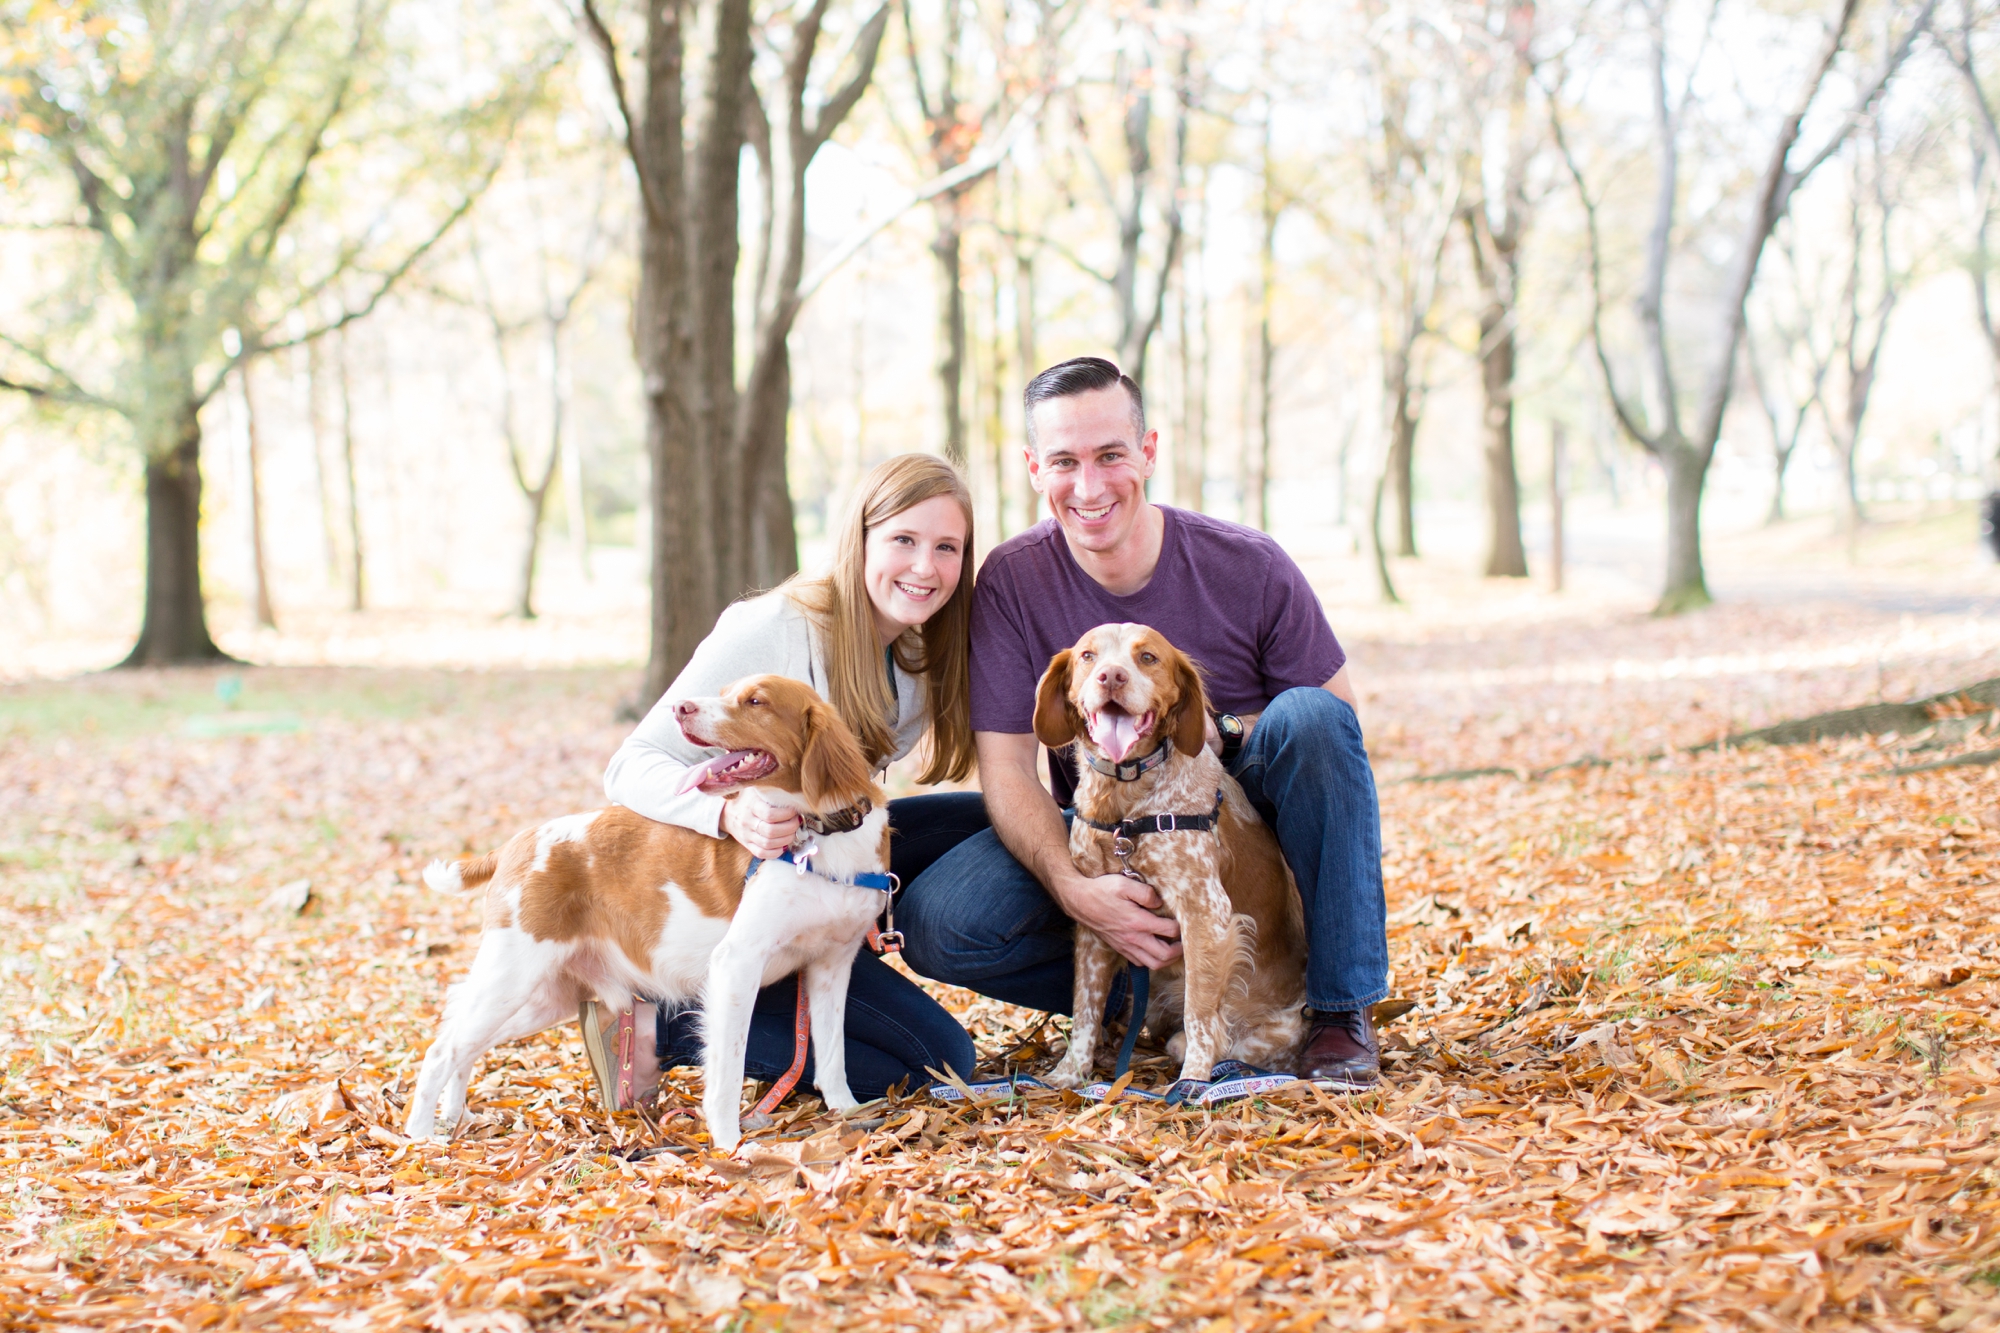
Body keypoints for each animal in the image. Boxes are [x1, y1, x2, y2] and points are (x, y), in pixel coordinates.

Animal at [410, 676, 888, 1144]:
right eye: (727, 691)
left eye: (755, 701)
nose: (680, 707)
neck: (820, 835)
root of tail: (518, 841)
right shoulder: (736, 964)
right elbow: (728, 1071)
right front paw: (730, 1144)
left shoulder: (831, 965)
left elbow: (832, 1055)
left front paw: (849, 1113)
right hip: (512, 978)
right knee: (441, 1050)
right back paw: (420, 1137)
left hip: (545, 996)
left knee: (466, 1045)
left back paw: (453, 1115)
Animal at [1040, 624, 1304, 1080]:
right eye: (1088, 656)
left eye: (1147, 658)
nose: (1112, 677)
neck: (1123, 802)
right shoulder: (1095, 917)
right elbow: (1085, 1008)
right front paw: (1070, 1075)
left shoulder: (1205, 913)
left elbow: (1200, 1014)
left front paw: (1193, 1083)